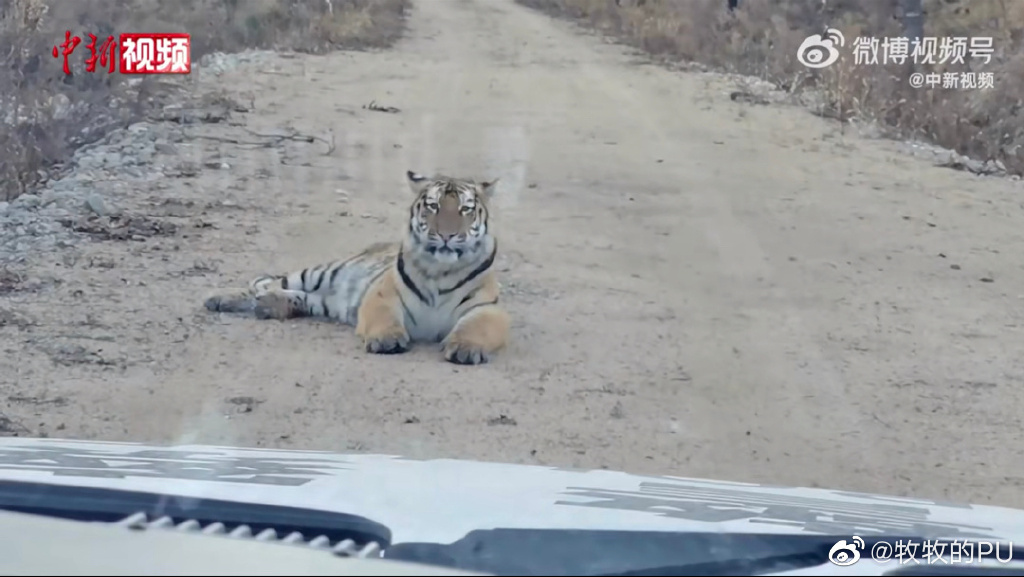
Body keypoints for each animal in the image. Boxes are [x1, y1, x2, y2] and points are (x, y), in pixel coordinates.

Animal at [201, 169, 509, 364]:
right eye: (433, 206)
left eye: (465, 209)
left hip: (322, 301)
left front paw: (466, 348)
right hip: (319, 273)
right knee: (267, 283)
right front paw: (386, 339)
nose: (446, 235)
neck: (441, 270)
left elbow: (475, 328)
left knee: (296, 297)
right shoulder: (382, 294)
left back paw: (270, 306)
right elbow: (383, 317)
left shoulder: (487, 309)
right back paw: (220, 299)